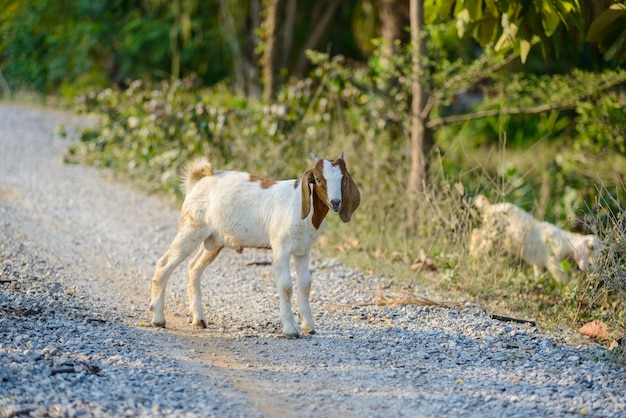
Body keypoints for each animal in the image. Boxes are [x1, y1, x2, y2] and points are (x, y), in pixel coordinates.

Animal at [148, 152, 358, 338]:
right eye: (319, 179)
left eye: (343, 179)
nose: (336, 202)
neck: (301, 206)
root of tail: (200, 180)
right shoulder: (280, 247)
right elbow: (286, 286)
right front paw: (290, 330)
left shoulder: (303, 250)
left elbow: (305, 284)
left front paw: (309, 327)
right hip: (191, 228)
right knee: (164, 264)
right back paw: (158, 319)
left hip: (214, 240)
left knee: (194, 268)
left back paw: (199, 320)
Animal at [468, 195, 600, 280]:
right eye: (590, 248)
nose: (589, 268)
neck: (567, 243)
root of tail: (490, 208)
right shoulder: (553, 261)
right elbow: (562, 278)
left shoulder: (538, 262)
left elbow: (538, 274)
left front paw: (537, 282)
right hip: (493, 234)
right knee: (478, 241)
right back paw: (474, 261)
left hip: (490, 232)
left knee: (475, 234)